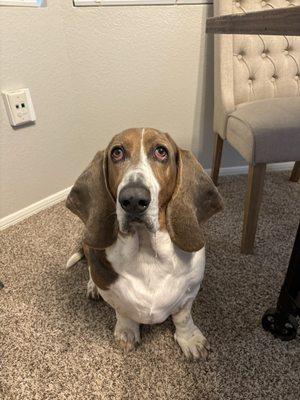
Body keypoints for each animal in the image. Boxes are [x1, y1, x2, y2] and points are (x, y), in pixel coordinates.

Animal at [65, 128, 223, 360]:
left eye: (161, 151)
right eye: (117, 152)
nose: (133, 199)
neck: (147, 251)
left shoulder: (189, 292)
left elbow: (183, 317)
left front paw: (190, 339)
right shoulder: (114, 295)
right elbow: (123, 312)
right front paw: (127, 332)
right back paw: (93, 285)